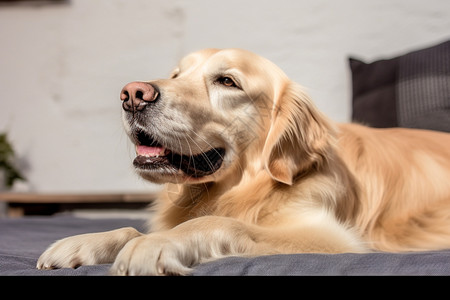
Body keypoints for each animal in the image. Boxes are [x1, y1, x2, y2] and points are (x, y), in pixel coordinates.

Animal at [37, 48, 450, 276]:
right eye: (176, 75)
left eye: (226, 81)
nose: (132, 95)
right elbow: (130, 229)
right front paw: (82, 242)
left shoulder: (331, 236)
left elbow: (218, 222)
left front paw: (155, 244)